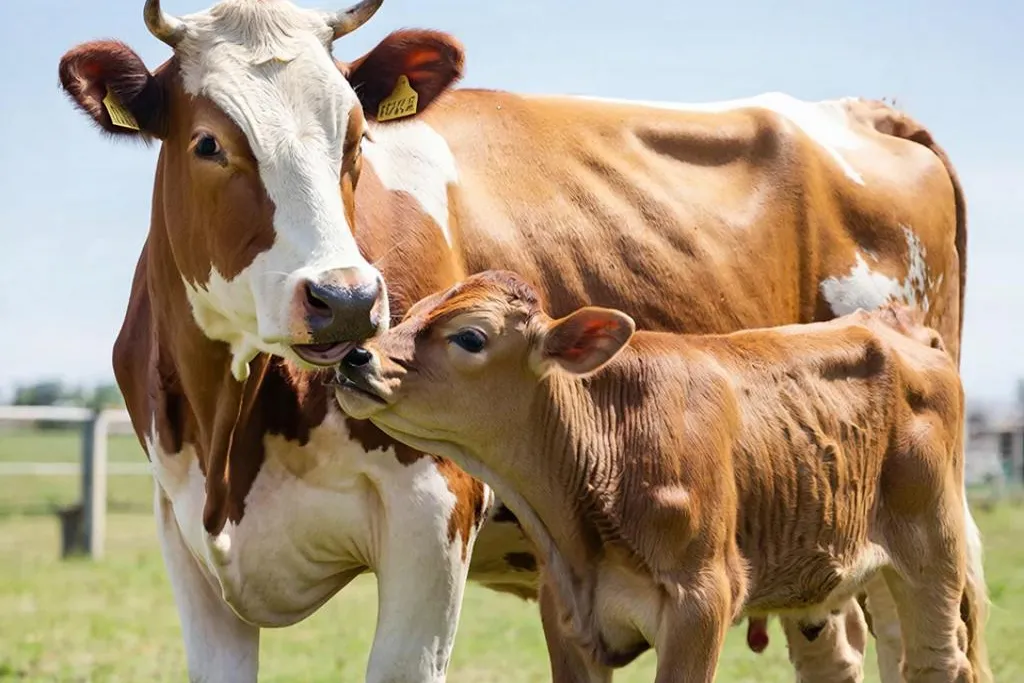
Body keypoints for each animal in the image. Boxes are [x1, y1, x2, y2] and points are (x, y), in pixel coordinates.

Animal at [333, 270, 991, 683]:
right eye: (412, 313)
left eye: (470, 336)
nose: (355, 358)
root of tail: (897, 326)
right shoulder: (567, 615)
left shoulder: (702, 601)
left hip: (932, 551)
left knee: (939, 664)